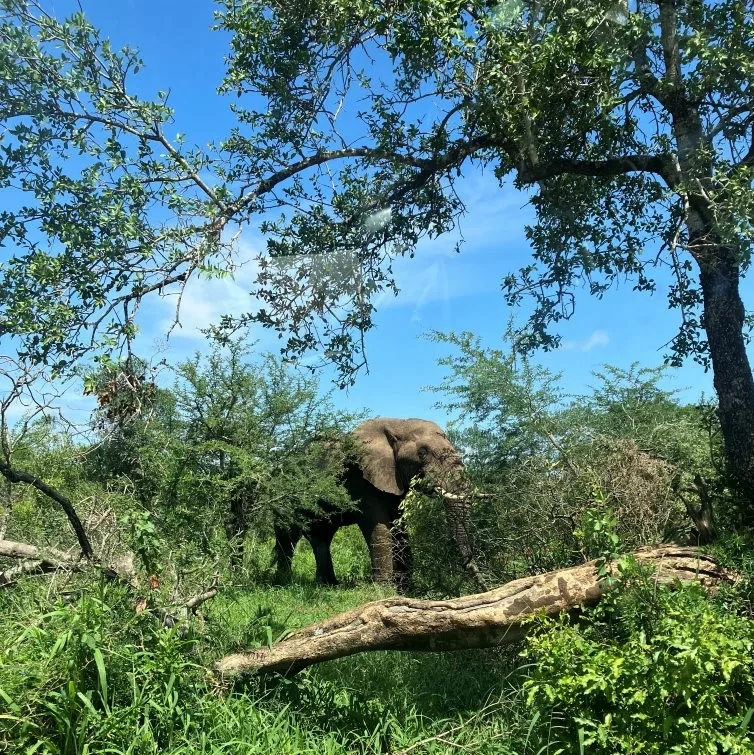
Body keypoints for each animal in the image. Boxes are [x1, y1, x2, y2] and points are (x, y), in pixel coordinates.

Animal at [274, 420, 484, 592]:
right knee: (288, 535)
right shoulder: (360, 480)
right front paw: (384, 591)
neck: (397, 424)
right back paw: (284, 582)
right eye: (422, 453)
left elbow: (399, 528)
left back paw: (328, 585)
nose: (482, 584)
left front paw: (406, 590)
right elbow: (378, 527)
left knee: (322, 536)